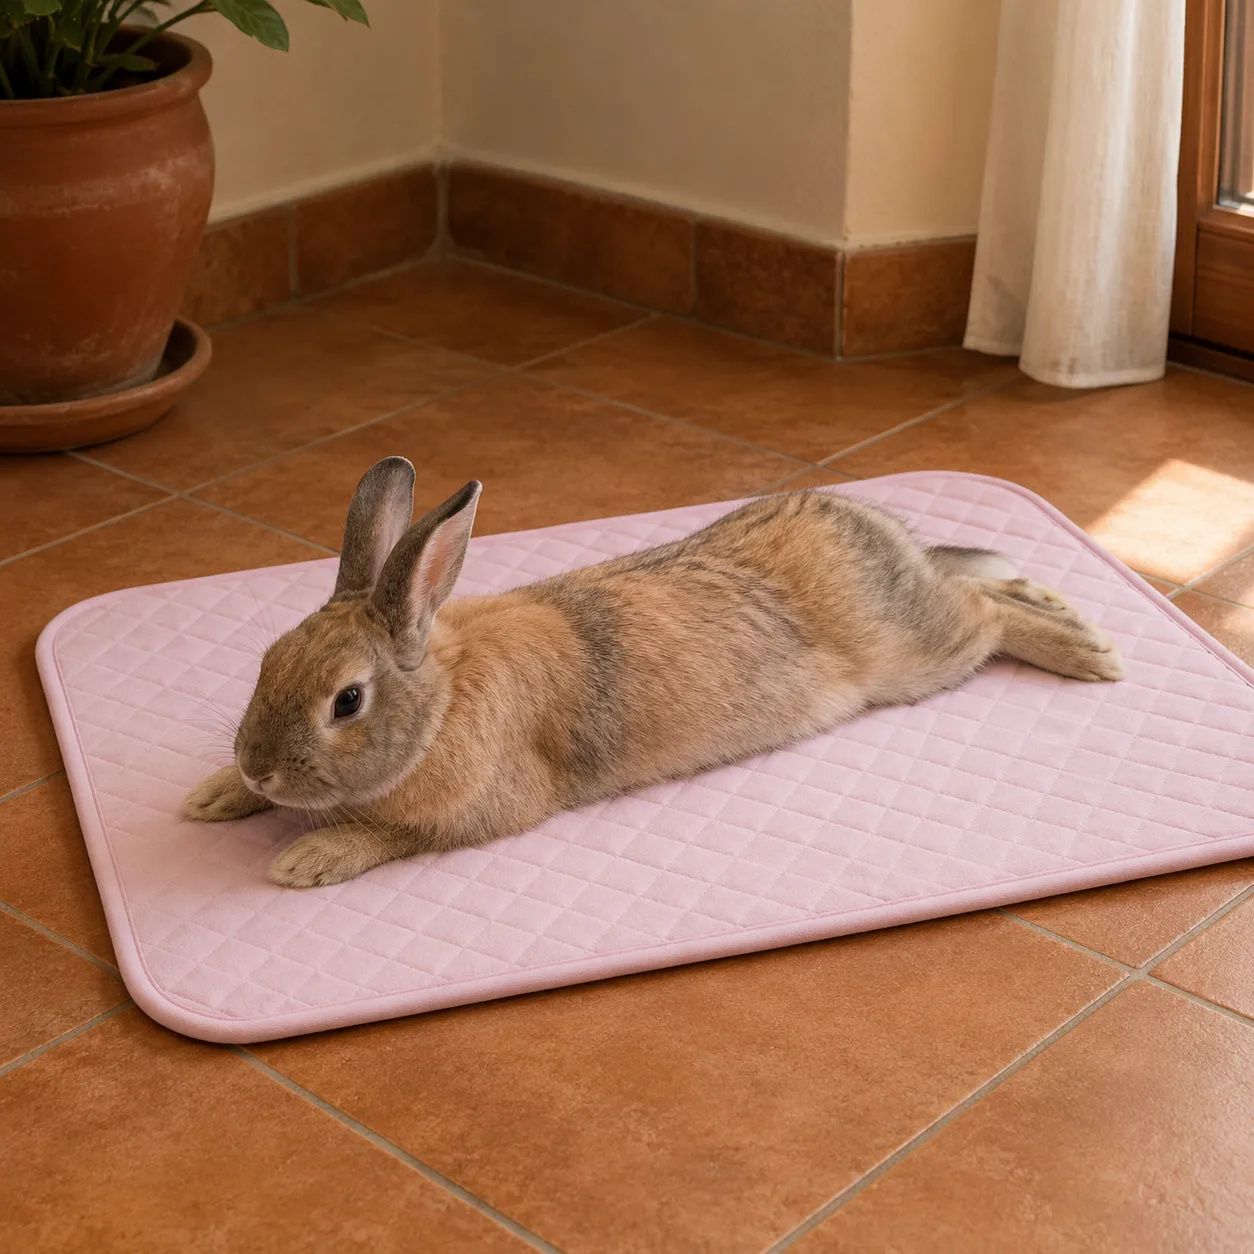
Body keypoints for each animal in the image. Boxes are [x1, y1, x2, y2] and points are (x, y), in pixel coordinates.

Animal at [184, 456, 1124, 889]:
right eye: (267, 660)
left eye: (347, 701)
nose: (258, 765)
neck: (441, 698)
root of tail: (884, 532)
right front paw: (212, 798)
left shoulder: (482, 812)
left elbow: (389, 834)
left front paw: (307, 859)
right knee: (984, 585)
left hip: (918, 655)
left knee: (987, 617)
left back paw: (1091, 651)